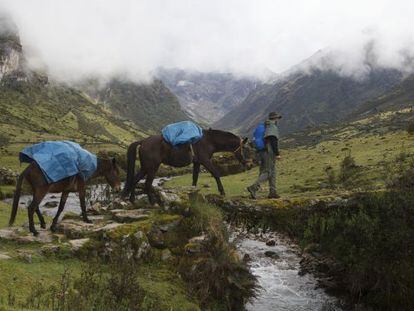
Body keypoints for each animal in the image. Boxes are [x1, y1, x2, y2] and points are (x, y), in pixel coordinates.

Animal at [122, 129, 252, 205]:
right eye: (246, 148)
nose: (247, 163)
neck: (209, 140)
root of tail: (143, 141)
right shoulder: (205, 161)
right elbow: (215, 173)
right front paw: (222, 192)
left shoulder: (197, 163)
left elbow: (194, 178)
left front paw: (193, 194)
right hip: (152, 168)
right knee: (147, 184)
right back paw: (152, 202)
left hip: (145, 167)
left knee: (134, 180)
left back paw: (132, 200)